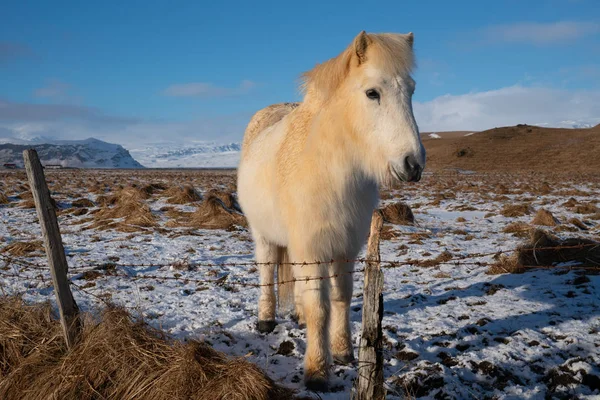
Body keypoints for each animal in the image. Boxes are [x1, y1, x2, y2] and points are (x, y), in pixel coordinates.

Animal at [237, 30, 424, 390]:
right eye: (372, 93)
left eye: (411, 90)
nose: (413, 164)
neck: (331, 169)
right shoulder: (312, 247)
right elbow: (319, 308)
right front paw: (317, 371)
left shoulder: (344, 247)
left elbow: (340, 298)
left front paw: (343, 353)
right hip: (264, 235)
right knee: (267, 271)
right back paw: (266, 320)